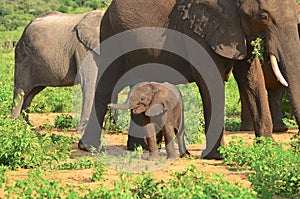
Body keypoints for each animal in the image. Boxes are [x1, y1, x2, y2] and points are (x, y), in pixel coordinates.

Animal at [79, 0, 300, 159]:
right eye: (263, 17)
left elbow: (252, 79)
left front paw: (267, 148)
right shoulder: (201, 33)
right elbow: (211, 81)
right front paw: (216, 156)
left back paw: (137, 148)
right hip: (111, 33)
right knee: (106, 84)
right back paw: (89, 148)